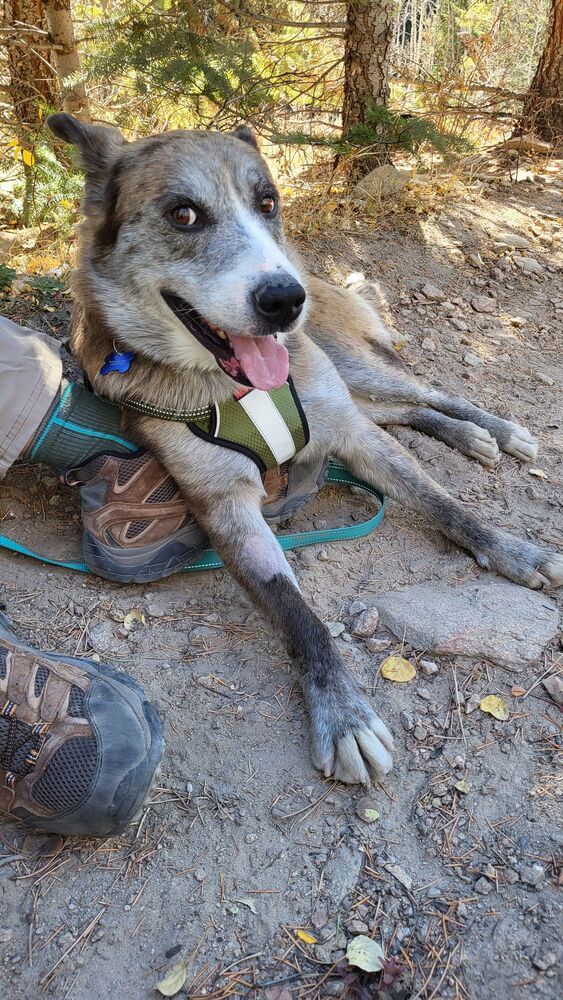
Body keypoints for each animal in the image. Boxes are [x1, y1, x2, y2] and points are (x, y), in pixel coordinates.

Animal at [46, 115, 560, 788]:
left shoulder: (351, 436)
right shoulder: (226, 503)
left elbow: (444, 503)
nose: (285, 301)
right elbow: (295, 609)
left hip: (353, 369)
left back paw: (493, 430)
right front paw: (342, 715)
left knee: (423, 393)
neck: (231, 386)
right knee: (404, 411)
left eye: (268, 203)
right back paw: (471, 437)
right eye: (183, 214)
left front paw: (511, 550)